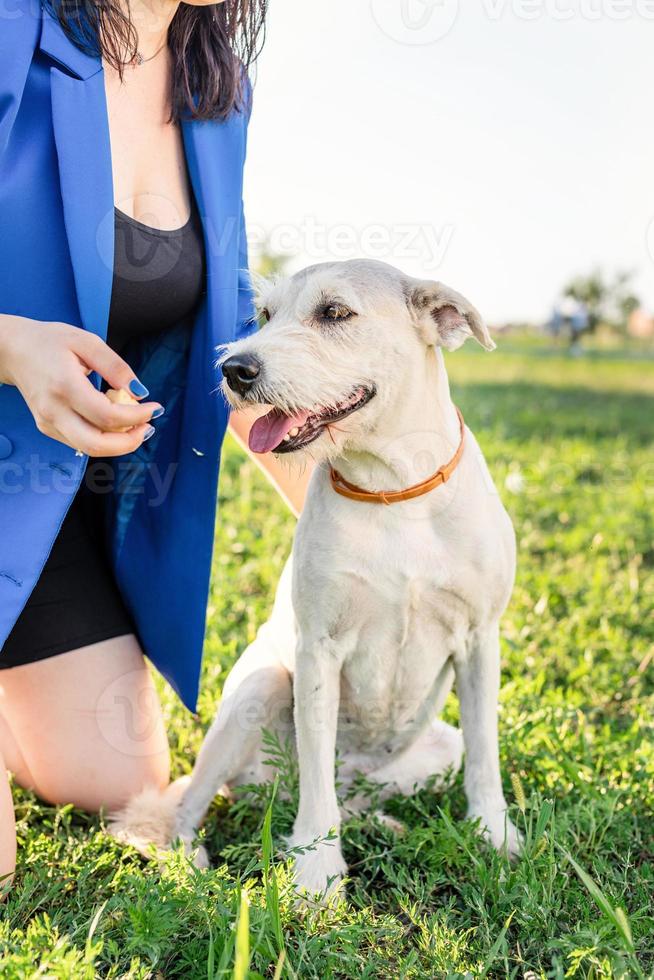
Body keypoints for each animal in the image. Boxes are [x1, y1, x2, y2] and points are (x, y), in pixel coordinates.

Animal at [113, 258, 524, 896]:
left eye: (334, 312)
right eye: (264, 314)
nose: (234, 369)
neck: (392, 487)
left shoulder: (480, 640)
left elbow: (485, 751)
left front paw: (493, 832)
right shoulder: (318, 649)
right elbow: (315, 782)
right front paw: (316, 870)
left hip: (435, 746)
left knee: (359, 793)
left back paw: (383, 824)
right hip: (256, 691)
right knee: (198, 806)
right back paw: (190, 861)